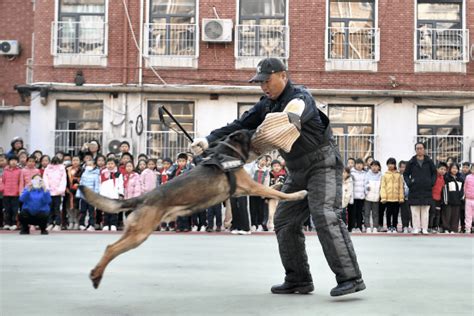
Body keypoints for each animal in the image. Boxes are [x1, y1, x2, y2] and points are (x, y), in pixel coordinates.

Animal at [78, 130, 308, 290]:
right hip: (139, 234)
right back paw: (96, 276)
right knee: (111, 249)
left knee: (111, 247)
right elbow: (276, 192)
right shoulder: (251, 186)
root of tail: (143, 197)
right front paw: (298, 193)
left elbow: (272, 192)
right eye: (251, 132)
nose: (261, 129)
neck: (228, 152)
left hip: (135, 232)